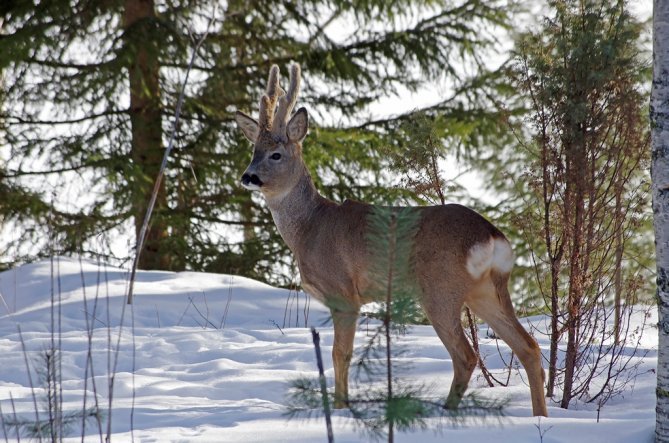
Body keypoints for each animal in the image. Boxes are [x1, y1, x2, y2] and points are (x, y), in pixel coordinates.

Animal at [235, 63, 548, 420]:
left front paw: (341, 408)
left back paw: (445, 411)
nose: (248, 176)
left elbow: (340, 353)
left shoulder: (344, 293)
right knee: (529, 347)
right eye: (254, 151)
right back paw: (540, 415)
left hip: (440, 289)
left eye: (275, 154)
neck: (309, 228)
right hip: (486, 291)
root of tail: (493, 237)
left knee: (466, 355)